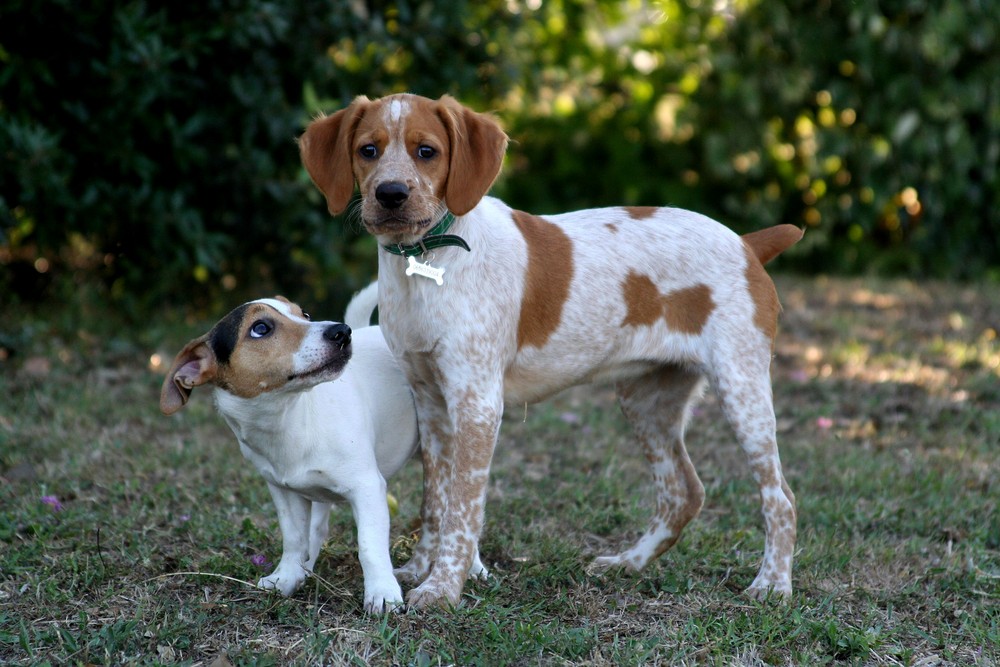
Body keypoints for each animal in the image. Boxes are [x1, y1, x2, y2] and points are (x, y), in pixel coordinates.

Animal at [160, 284, 480, 612]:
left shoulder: (367, 488)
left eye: (305, 314)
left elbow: (369, 546)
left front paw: (382, 592)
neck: (293, 418)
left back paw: (474, 567)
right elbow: (294, 539)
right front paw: (286, 578)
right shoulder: (283, 492)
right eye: (260, 328)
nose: (342, 332)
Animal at [298, 94, 804, 612]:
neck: (424, 261)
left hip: (741, 389)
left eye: (426, 151)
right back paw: (627, 563)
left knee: (779, 497)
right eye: (368, 150)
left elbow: (462, 508)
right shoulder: (430, 400)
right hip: (647, 401)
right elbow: (434, 500)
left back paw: (772, 584)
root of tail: (745, 243)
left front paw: (443, 589)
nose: (391, 193)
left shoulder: (477, 402)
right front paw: (420, 570)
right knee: (683, 492)